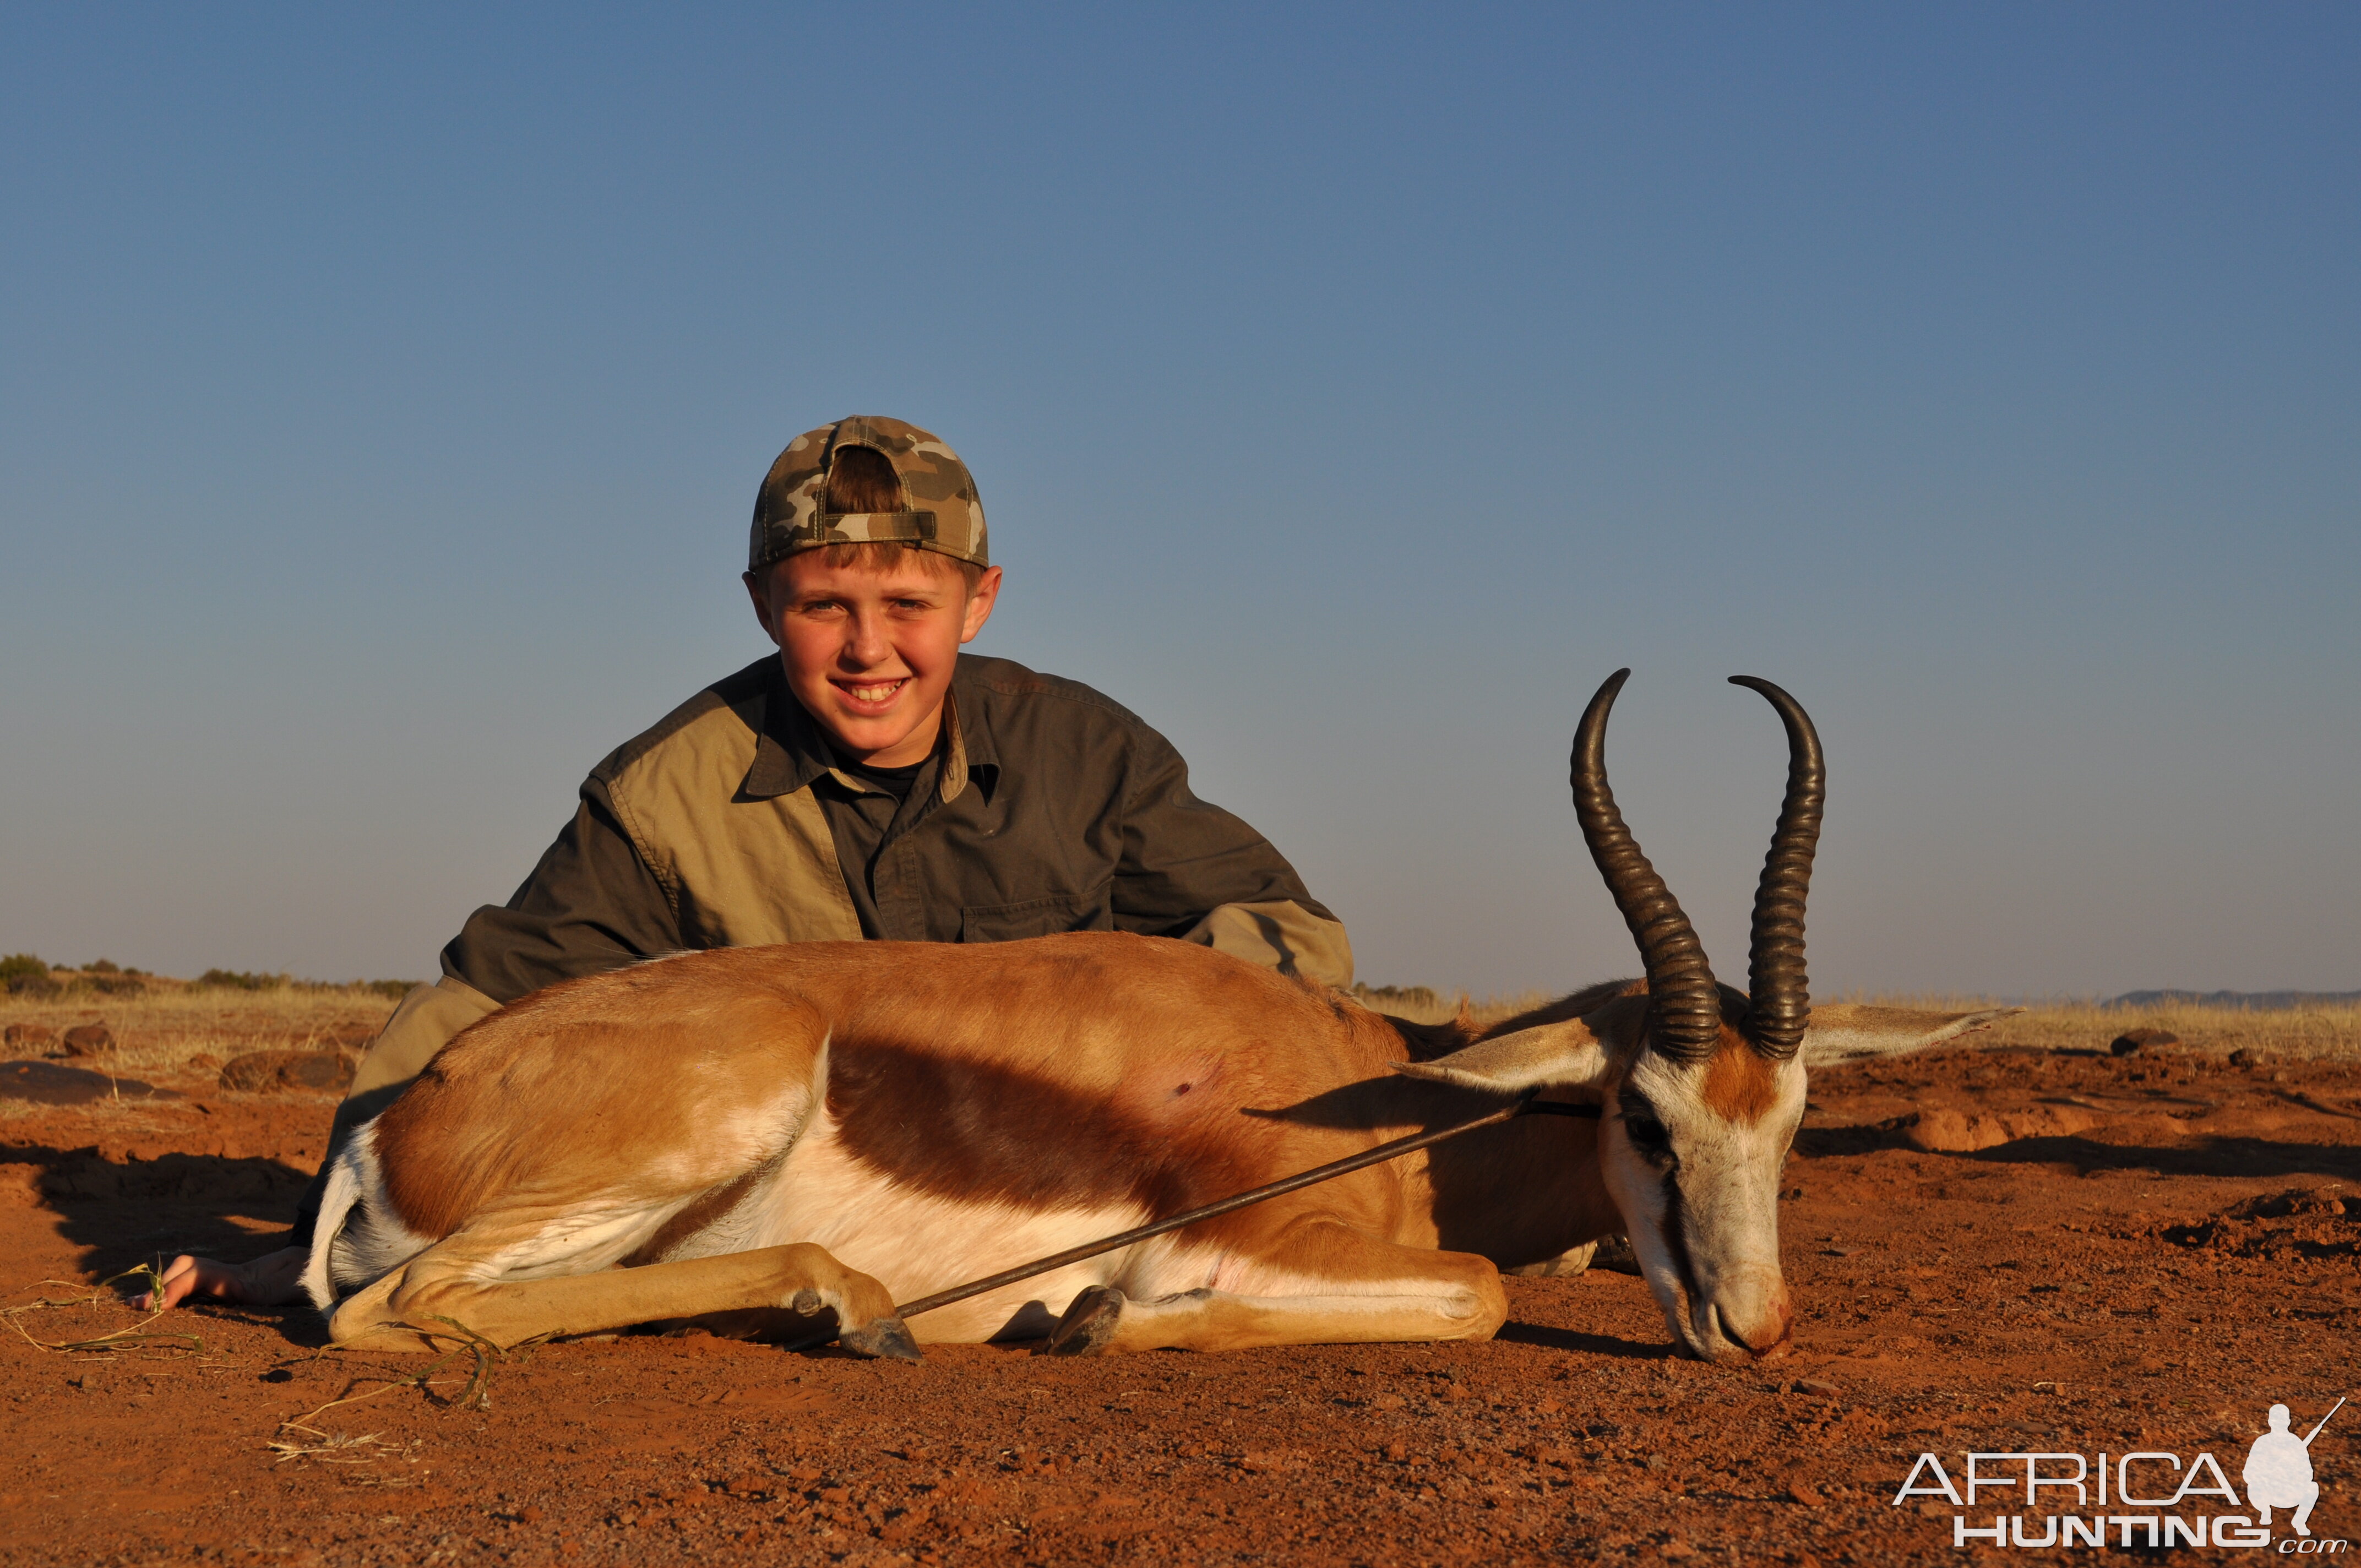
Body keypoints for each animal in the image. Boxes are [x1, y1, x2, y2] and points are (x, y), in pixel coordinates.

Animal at [304, 666, 2002, 1369]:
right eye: (1644, 1117)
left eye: (1789, 1124)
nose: (1752, 1327)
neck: (1381, 1099)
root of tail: (401, 1109)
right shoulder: (1248, 1234)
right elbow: (1475, 1294)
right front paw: (1097, 1318)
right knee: (390, 1311)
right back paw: (852, 1303)